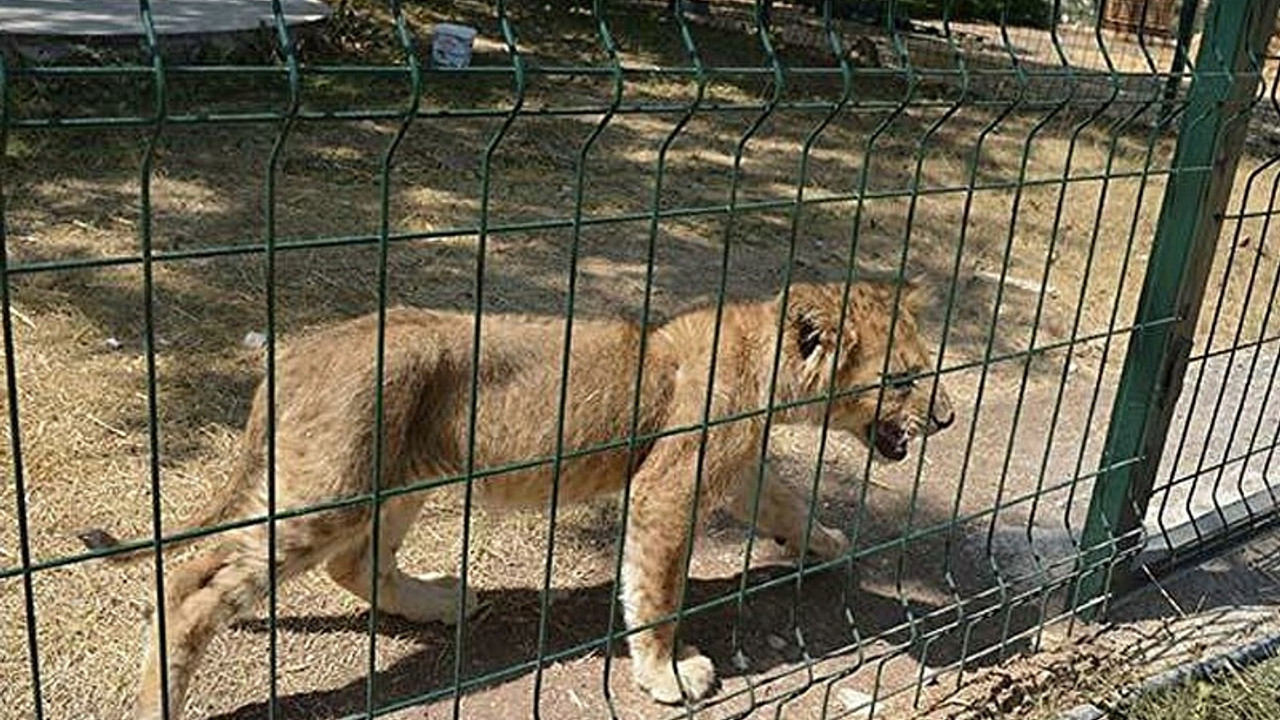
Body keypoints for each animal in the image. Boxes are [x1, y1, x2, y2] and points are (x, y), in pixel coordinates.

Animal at [82, 278, 952, 712]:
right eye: (905, 378)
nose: (945, 417)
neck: (765, 361)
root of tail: (289, 355)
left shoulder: (734, 466)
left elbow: (788, 502)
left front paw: (828, 546)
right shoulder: (667, 486)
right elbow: (658, 589)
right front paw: (666, 674)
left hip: (402, 475)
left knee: (355, 566)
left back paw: (442, 601)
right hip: (329, 490)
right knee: (193, 585)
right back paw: (160, 701)